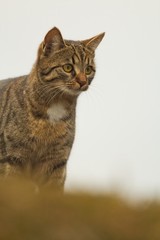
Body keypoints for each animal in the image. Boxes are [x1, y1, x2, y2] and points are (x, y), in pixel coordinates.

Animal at [0, 27, 105, 188]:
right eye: (68, 67)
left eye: (88, 69)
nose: (83, 82)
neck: (55, 108)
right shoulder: (13, 158)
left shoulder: (56, 161)